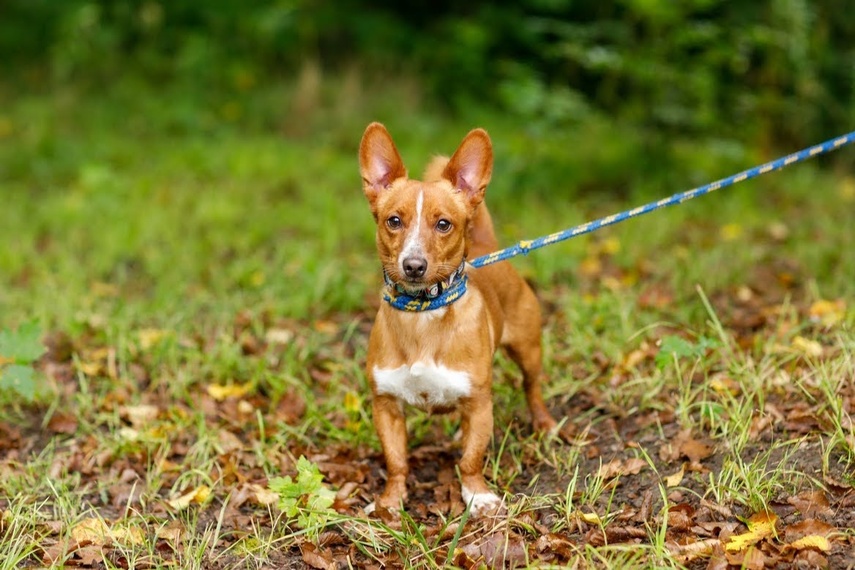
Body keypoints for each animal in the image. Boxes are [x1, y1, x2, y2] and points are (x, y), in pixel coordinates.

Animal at [358, 121, 560, 516]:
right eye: (394, 221)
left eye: (443, 224)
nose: (414, 265)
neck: (422, 313)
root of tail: (486, 246)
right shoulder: (386, 405)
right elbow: (396, 461)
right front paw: (390, 502)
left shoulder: (480, 405)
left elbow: (471, 458)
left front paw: (477, 495)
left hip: (528, 350)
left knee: (531, 387)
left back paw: (543, 421)